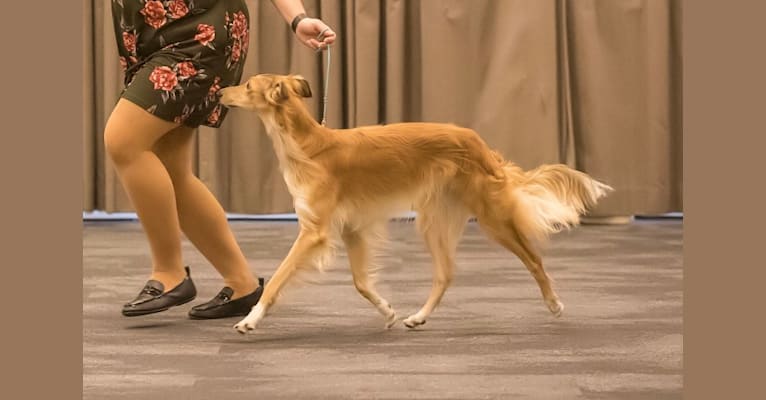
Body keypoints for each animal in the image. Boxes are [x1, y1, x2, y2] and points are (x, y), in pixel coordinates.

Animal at [219, 73, 616, 332]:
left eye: (248, 85)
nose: (221, 91)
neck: (308, 146)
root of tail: (481, 145)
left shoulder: (314, 231)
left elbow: (278, 278)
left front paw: (250, 318)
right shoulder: (352, 229)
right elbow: (361, 282)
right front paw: (388, 311)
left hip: (491, 218)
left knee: (534, 259)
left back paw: (554, 304)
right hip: (434, 221)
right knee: (446, 273)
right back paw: (419, 316)